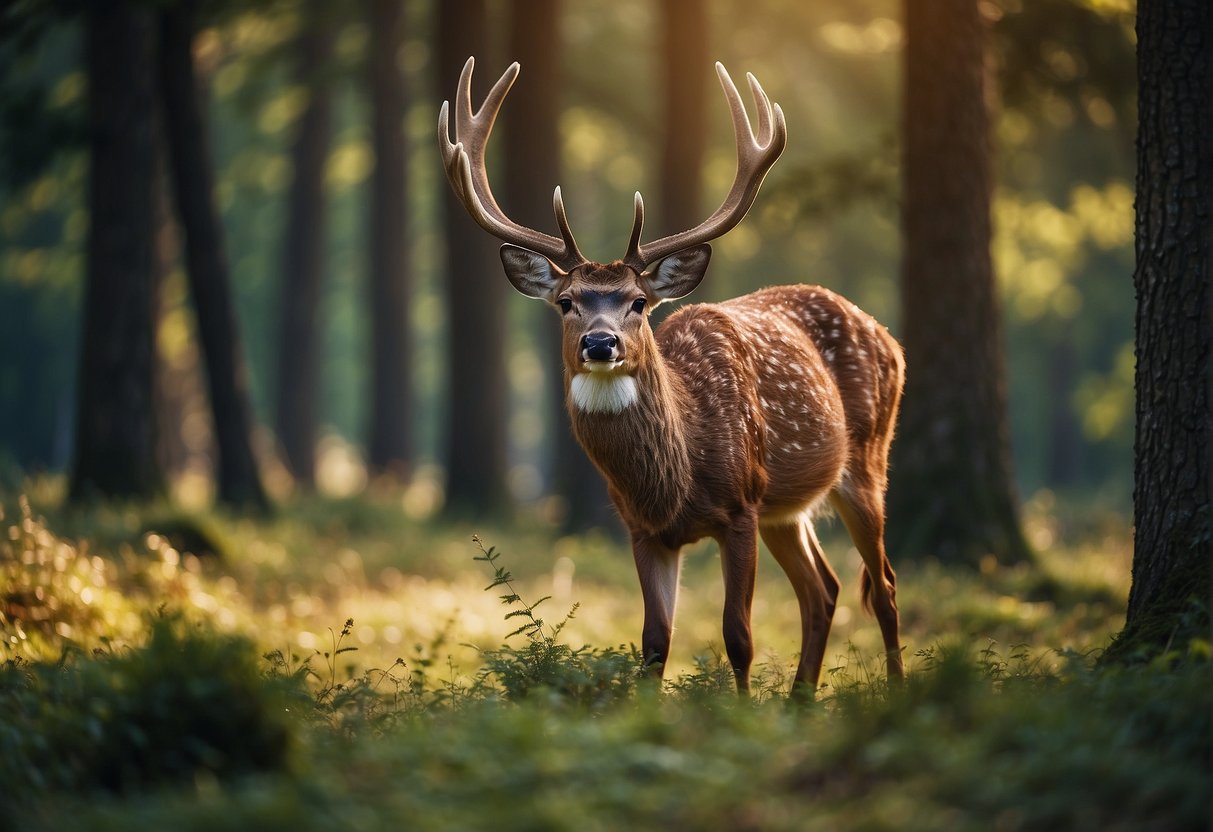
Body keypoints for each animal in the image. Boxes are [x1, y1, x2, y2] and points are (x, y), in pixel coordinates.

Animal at [439, 57, 905, 695]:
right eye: (566, 302)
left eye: (637, 302)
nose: (600, 342)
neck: (677, 477)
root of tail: (889, 337)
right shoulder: (642, 530)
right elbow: (655, 642)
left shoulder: (740, 506)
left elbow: (739, 636)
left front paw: (740, 712)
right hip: (786, 507)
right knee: (824, 588)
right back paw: (799, 701)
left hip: (865, 462)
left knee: (882, 587)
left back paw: (896, 689)